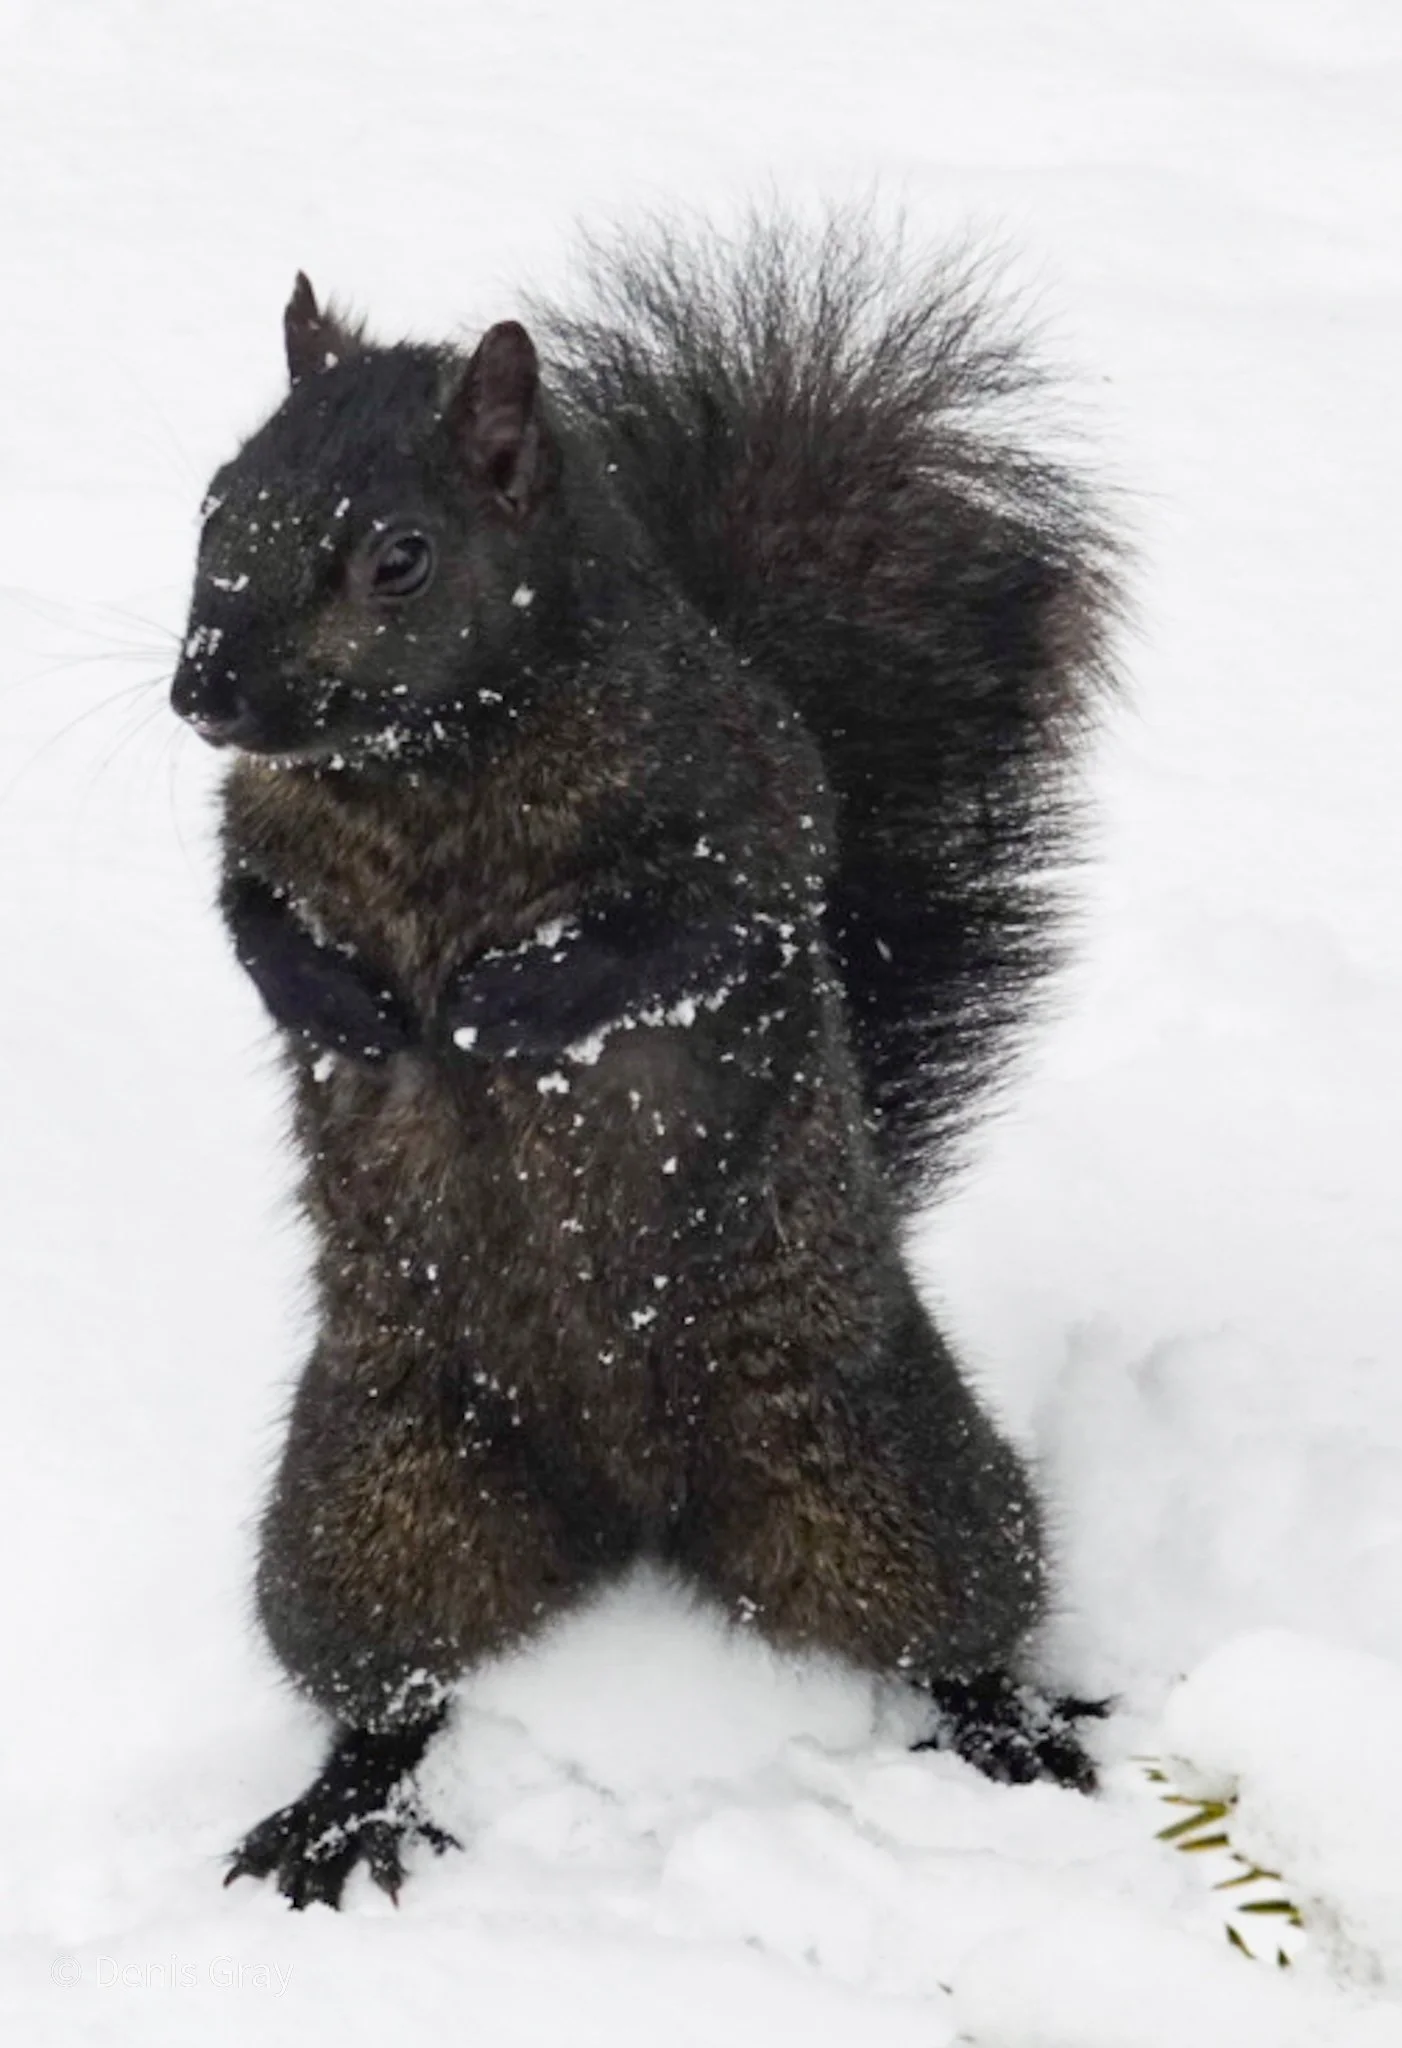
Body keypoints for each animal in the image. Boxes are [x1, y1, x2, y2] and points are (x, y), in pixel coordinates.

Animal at [169, 213, 1121, 1909]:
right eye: (214, 497)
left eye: (398, 557)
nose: (200, 694)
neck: (428, 767)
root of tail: (630, 1512)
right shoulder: (259, 834)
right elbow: (247, 914)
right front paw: (344, 1009)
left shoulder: (743, 797)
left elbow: (690, 923)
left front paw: (499, 1008)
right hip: (370, 1500)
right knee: (388, 1690)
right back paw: (335, 1812)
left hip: (878, 1472)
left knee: (959, 1623)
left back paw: (1013, 1728)